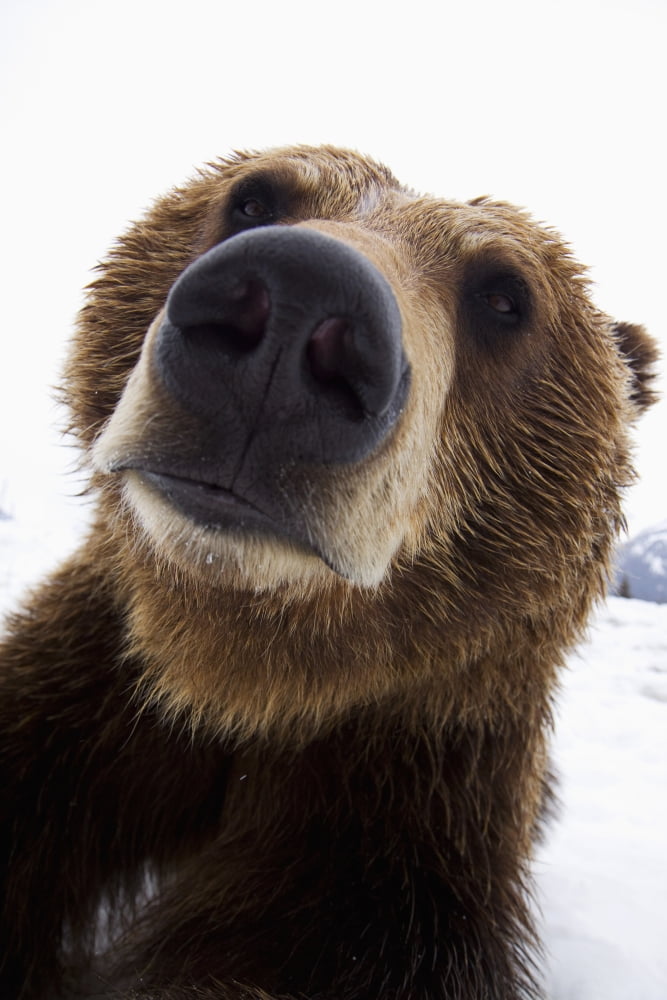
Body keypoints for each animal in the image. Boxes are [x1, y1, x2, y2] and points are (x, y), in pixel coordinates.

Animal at [0, 145, 658, 1000]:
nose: (294, 308)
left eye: (505, 296)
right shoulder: (81, 711)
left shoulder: (395, 811)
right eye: (253, 198)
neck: (237, 676)